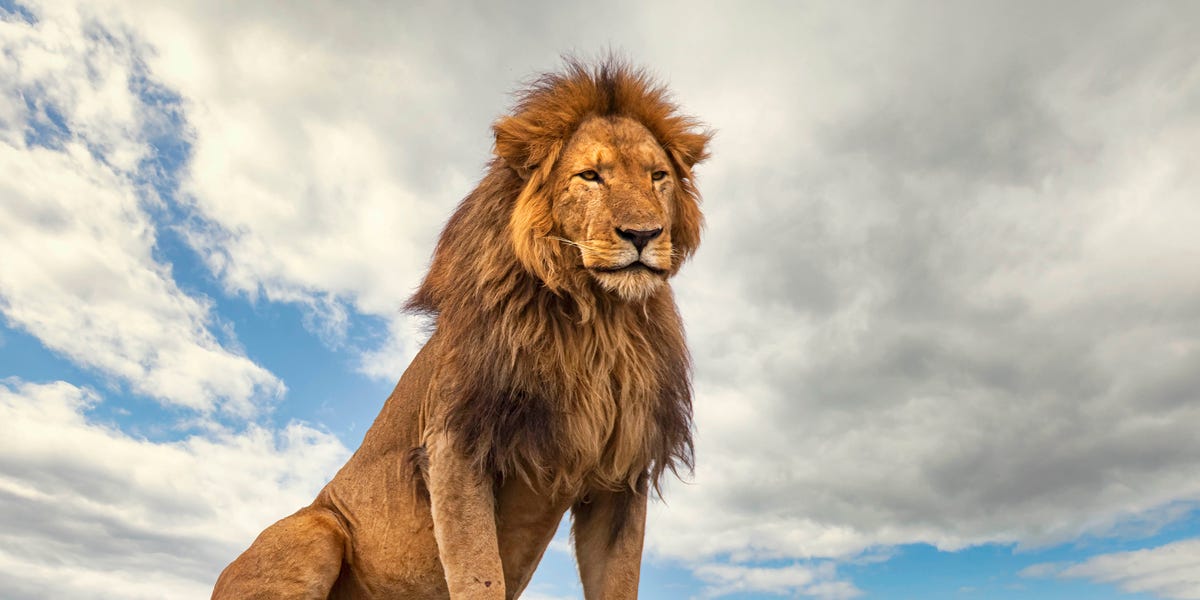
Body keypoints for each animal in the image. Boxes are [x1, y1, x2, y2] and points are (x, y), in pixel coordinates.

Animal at [212, 58, 711, 599]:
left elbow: (618, 581)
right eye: (590, 176)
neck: (598, 320)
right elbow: (478, 574)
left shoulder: (621, 475)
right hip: (314, 530)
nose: (643, 235)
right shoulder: (455, 446)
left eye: (658, 176)